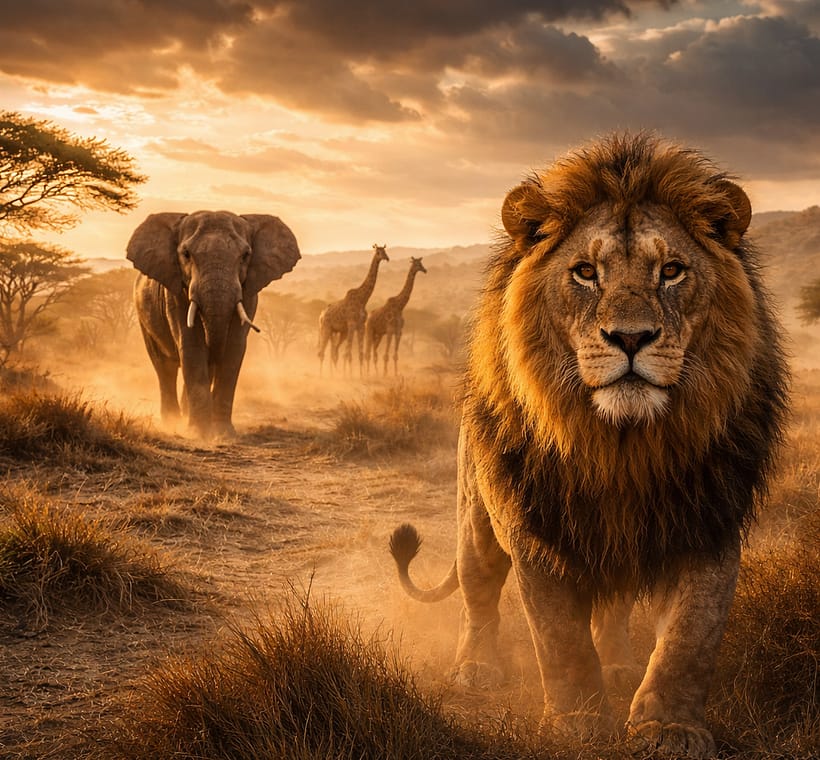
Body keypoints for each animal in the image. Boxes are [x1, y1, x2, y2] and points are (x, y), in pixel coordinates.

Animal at [389, 133, 789, 758]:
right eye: (584, 273)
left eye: (671, 271)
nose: (630, 338)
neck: (622, 447)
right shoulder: (534, 527)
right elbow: (560, 638)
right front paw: (577, 722)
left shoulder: (712, 519)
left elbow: (689, 639)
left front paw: (668, 727)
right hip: (475, 517)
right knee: (478, 593)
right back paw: (477, 668)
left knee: (616, 610)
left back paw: (622, 667)